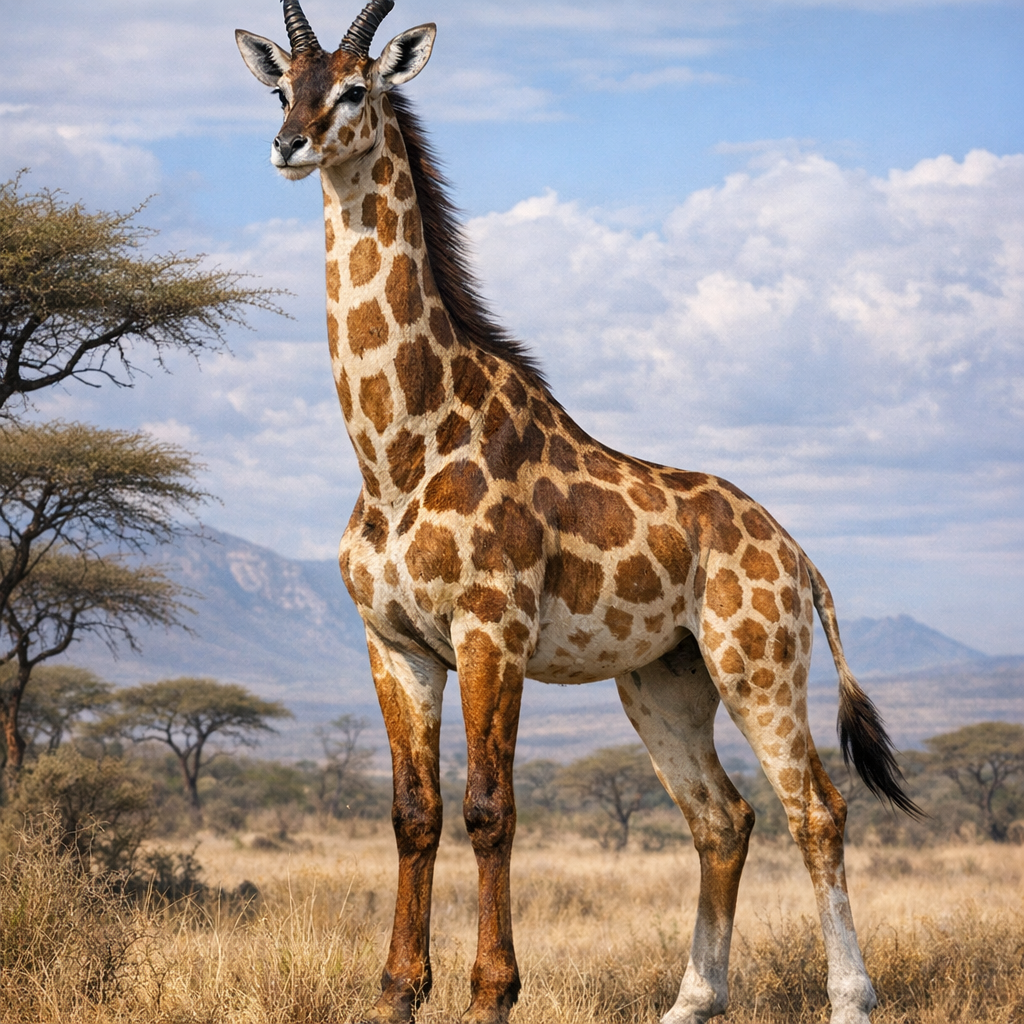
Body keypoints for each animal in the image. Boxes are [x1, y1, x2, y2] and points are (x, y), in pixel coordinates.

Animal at [236, 4, 919, 1022]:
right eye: (283, 88)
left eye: (356, 90)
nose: (288, 144)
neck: (395, 449)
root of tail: (805, 561)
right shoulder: (392, 642)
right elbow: (412, 813)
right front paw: (398, 991)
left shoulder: (493, 628)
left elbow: (488, 807)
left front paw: (491, 993)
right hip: (663, 680)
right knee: (723, 817)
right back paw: (691, 1001)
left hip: (757, 664)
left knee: (816, 808)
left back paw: (850, 997)